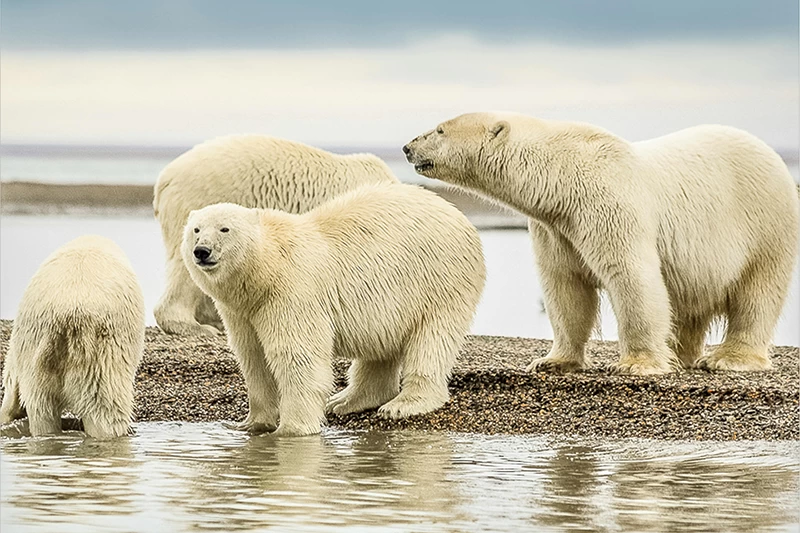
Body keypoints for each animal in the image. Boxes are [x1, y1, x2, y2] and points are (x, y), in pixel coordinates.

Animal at [182, 183, 484, 436]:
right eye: (196, 229)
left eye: (224, 229)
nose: (202, 251)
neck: (266, 270)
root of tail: (456, 213)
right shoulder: (242, 310)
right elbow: (253, 356)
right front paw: (251, 424)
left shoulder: (292, 292)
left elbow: (297, 356)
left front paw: (291, 429)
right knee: (380, 346)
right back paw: (346, 400)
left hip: (439, 280)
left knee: (432, 340)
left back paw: (402, 404)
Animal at [406, 113, 800, 374]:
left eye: (439, 130)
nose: (408, 147)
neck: (563, 176)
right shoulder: (556, 227)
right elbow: (565, 287)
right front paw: (552, 361)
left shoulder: (608, 205)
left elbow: (631, 276)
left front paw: (637, 364)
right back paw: (679, 352)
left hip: (765, 222)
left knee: (757, 292)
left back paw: (728, 358)